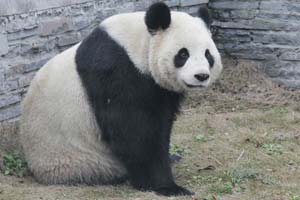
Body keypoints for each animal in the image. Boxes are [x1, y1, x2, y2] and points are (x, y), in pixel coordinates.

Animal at [19, 1, 223, 195]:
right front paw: (167, 187)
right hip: (82, 161)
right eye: (183, 54)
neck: (137, 44)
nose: (201, 76)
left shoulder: (160, 91)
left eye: (208, 54)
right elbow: (135, 133)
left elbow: (161, 124)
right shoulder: (117, 74)